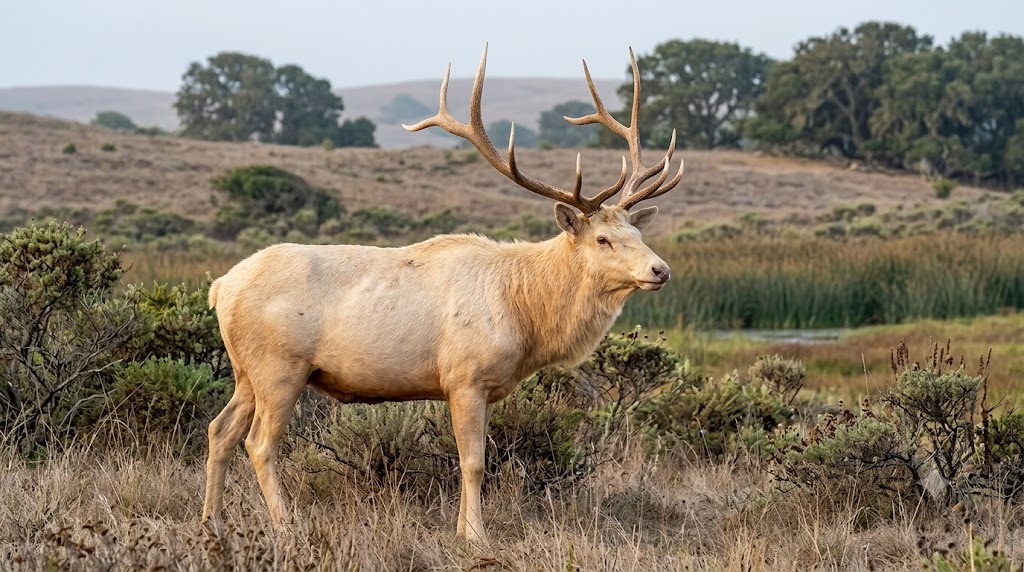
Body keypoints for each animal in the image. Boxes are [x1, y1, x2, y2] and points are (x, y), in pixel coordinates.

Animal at [201, 44, 684, 544]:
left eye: (636, 232)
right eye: (602, 239)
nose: (660, 269)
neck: (525, 319)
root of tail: (221, 287)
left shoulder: (484, 387)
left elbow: (472, 460)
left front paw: (461, 528)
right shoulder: (464, 377)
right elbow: (473, 463)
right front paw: (475, 535)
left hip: (246, 370)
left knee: (219, 430)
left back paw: (212, 521)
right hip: (280, 366)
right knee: (259, 443)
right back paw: (287, 525)